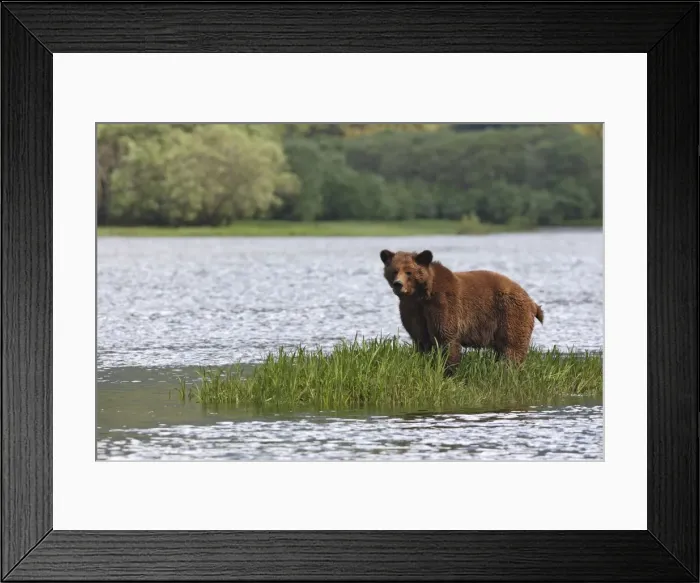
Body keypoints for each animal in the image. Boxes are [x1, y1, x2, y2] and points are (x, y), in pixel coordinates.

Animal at [380, 249, 544, 372]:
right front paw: (425, 362)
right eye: (394, 271)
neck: (421, 295)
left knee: (512, 347)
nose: (398, 284)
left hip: (510, 313)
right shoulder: (413, 310)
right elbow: (421, 338)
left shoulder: (443, 304)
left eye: (409, 272)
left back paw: (509, 370)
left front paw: (449, 370)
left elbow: (446, 337)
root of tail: (531, 301)